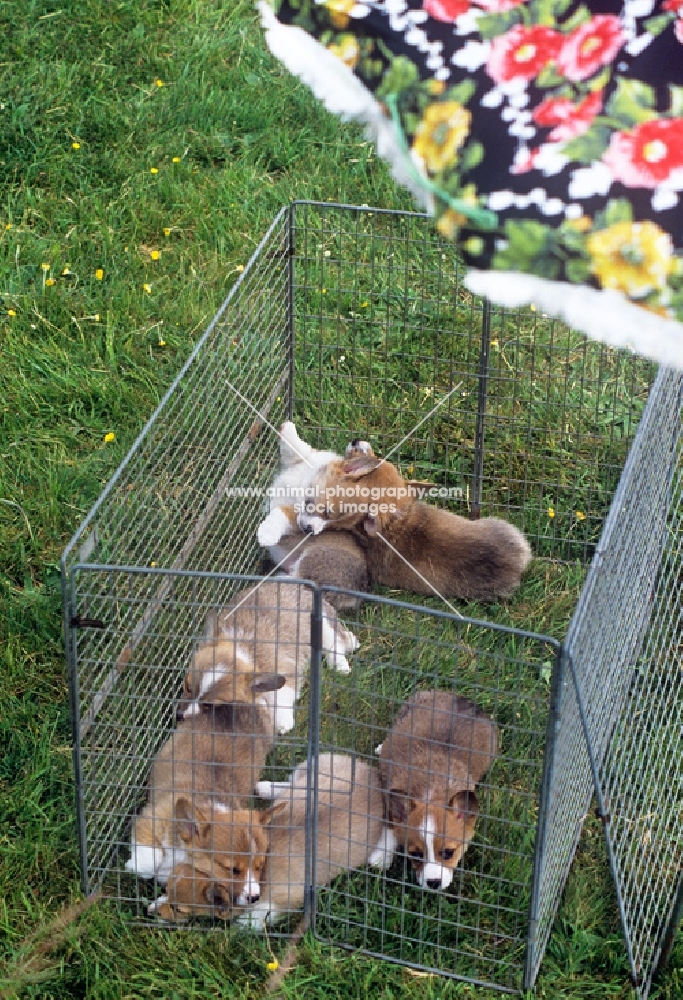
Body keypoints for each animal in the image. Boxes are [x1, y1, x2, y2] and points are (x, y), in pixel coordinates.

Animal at [180, 580, 364, 736]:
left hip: (323, 627)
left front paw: (282, 722)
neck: (244, 652)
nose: (179, 716)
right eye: (187, 687)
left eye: (209, 705)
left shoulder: (285, 670)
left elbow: (281, 693)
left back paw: (341, 664)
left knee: (335, 643)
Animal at [372, 688, 500, 892]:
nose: (433, 883)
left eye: (448, 853)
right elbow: (389, 826)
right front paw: (380, 858)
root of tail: (462, 699)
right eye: (416, 854)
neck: (431, 792)